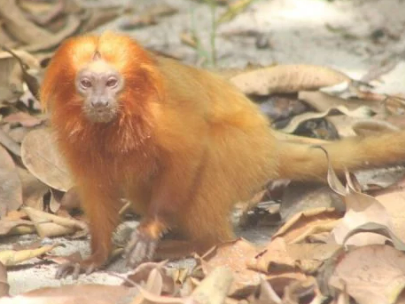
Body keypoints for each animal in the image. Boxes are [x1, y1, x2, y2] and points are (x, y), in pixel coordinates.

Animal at [39, 32, 404, 278]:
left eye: (112, 83)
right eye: (86, 83)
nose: (99, 102)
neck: (118, 117)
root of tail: (269, 145)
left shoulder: (161, 116)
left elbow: (191, 149)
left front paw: (151, 228)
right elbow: (96, 189)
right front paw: (96, 256)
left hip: (244, 153)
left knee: (213, 150)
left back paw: (199, 244)